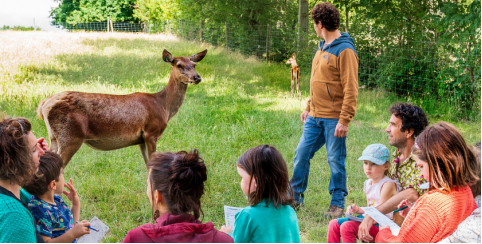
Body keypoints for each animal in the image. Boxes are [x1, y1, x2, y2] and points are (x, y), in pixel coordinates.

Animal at [37, 48, 207, 167]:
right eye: (179, 65)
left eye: (194, 64)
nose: (197, 77)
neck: (163, 106)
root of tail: (44, 104)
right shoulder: (151, 133)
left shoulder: (141, 139)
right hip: (71, 136)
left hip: (54, 137)